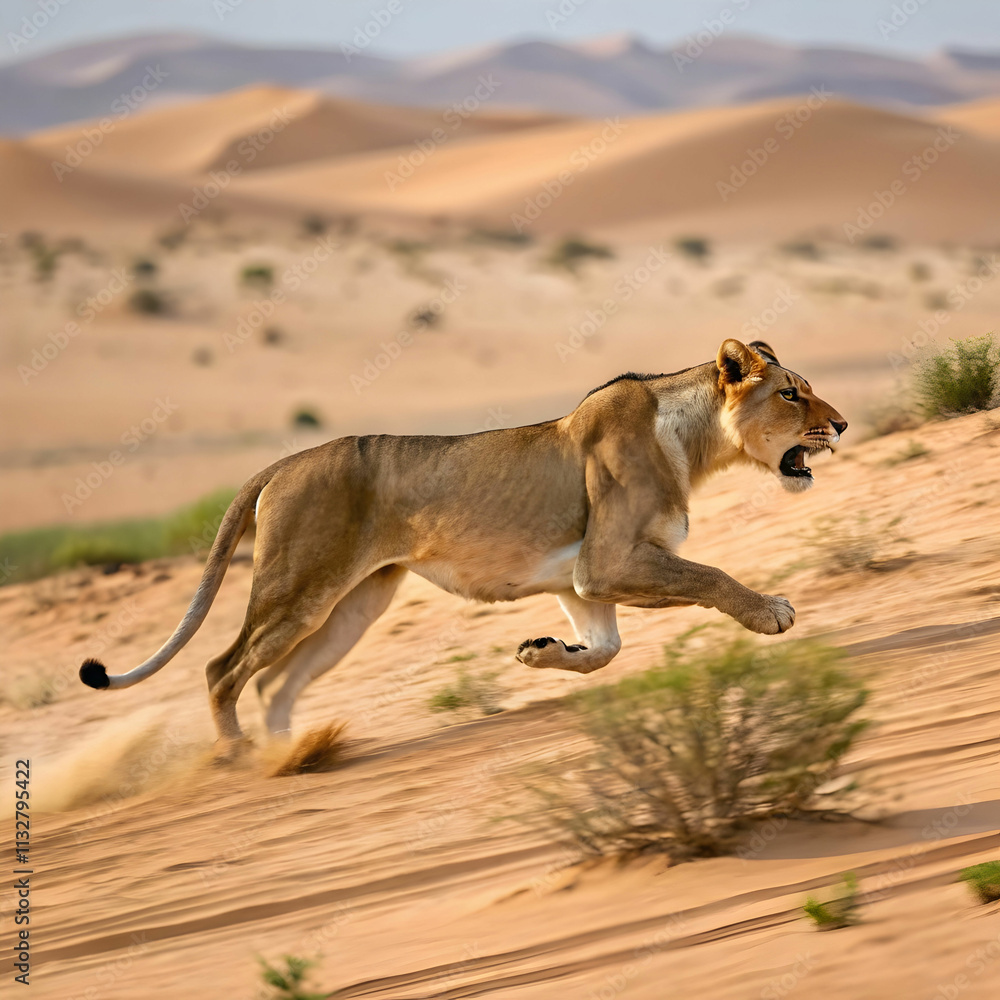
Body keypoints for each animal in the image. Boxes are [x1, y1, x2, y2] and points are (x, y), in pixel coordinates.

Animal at [79, 339, 846, 742]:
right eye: (791, 393)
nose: (840, 425)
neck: (693, 441)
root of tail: (282, 464)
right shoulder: (610, 561)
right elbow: (709, 576)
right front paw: (772, 613)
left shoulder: (583, 579)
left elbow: (604, 649)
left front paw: (541, 651)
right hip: (297, 591)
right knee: (222, 669)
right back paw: (244, 760)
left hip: (352, 608)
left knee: (269, 682)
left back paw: (294, 754)